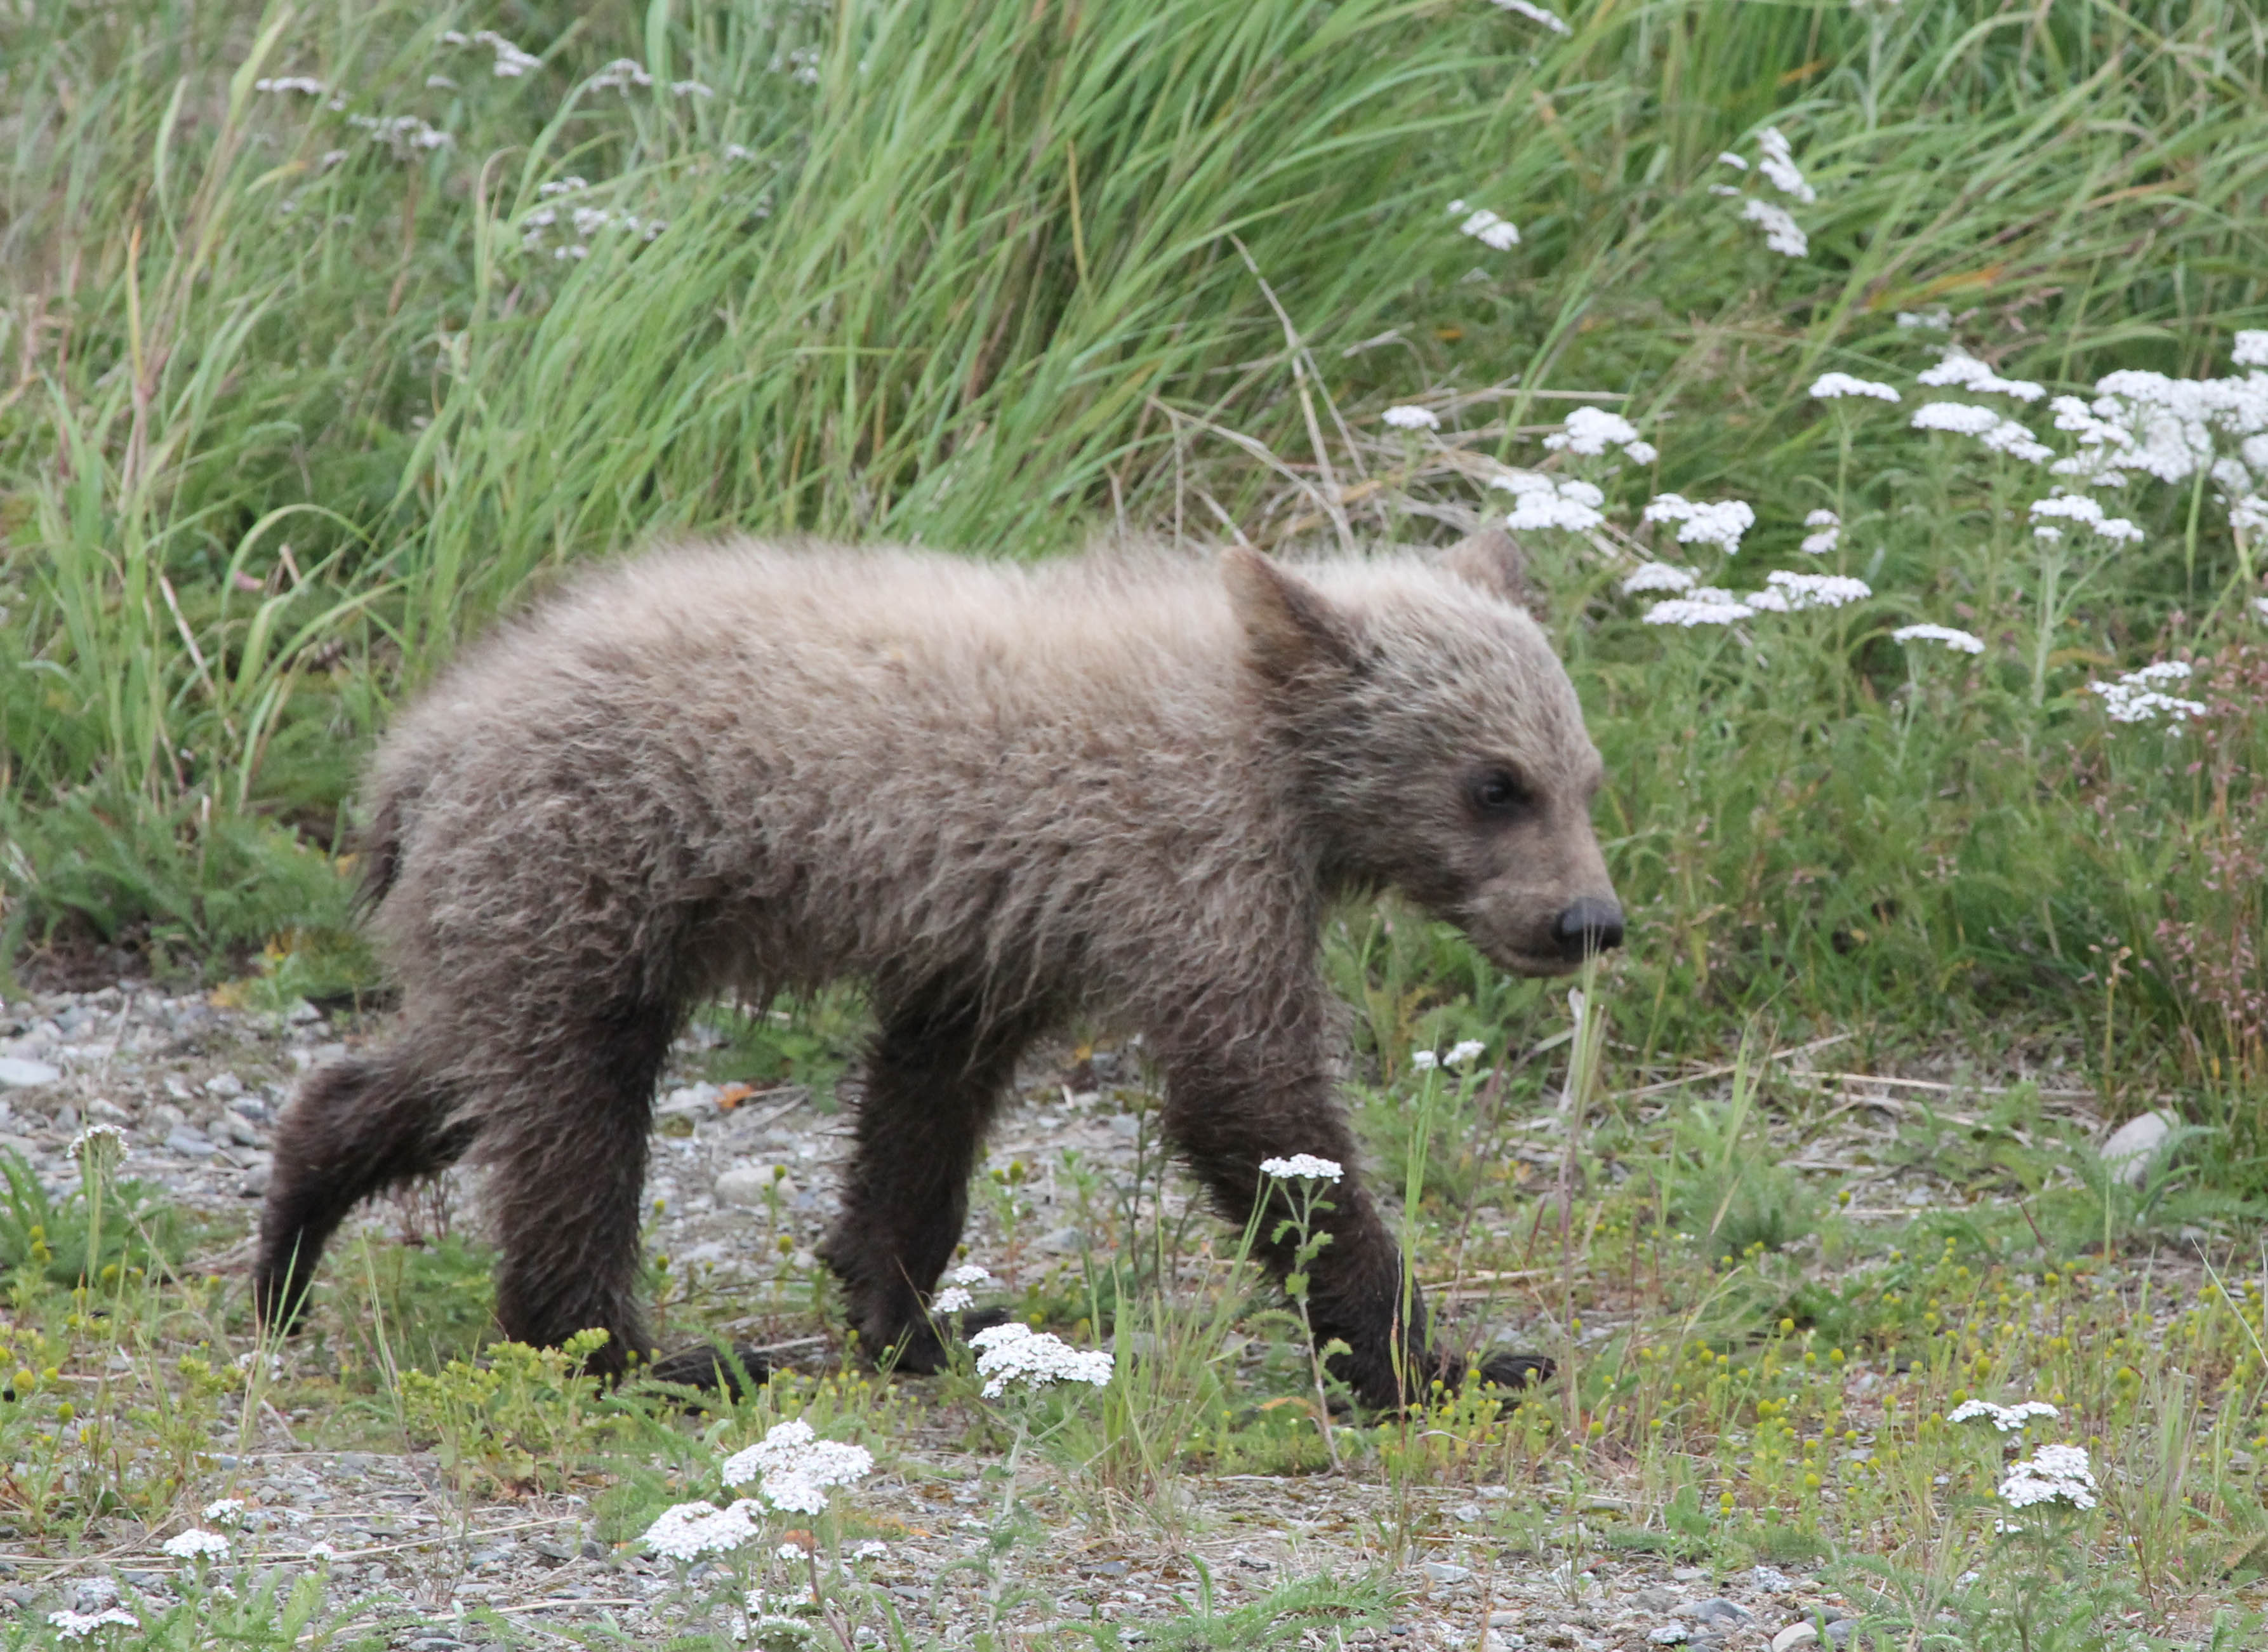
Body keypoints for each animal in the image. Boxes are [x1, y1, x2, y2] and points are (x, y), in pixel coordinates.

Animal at [252, 532, 1623, 1410]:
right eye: (1494, 782)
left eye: (1584, 774)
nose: (1586, 918)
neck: (1276, 765)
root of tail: (420, 746)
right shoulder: (1183, 866)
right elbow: (1257, 1106)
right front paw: (1438, 1361)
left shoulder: (1000, 925)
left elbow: (926, 1104)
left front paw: (912, 1313)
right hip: (585, 870)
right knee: (570, 1122)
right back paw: (639, 1354)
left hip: (532, 912)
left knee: (465, 1067)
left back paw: (291, 1240)